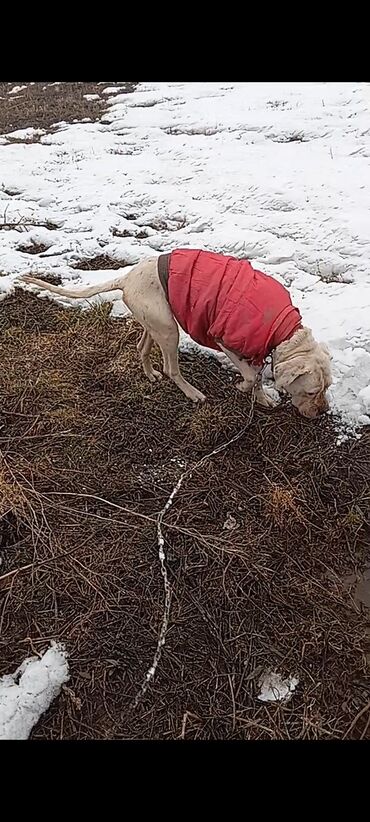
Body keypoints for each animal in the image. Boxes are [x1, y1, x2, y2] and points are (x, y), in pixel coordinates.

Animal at [20, 249, 332, 418]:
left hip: (155, 322)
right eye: (312, 391)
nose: (323, 412)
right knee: (171, 369)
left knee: (142, 348)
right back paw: (192, 393)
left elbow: (255, 375)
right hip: (169, 330)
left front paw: (262, 398)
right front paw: (245, 388)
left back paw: (150, 375)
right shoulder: (224, 339)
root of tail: (126, 278)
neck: (284, 331)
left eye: (327, 388)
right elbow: (250, 375)